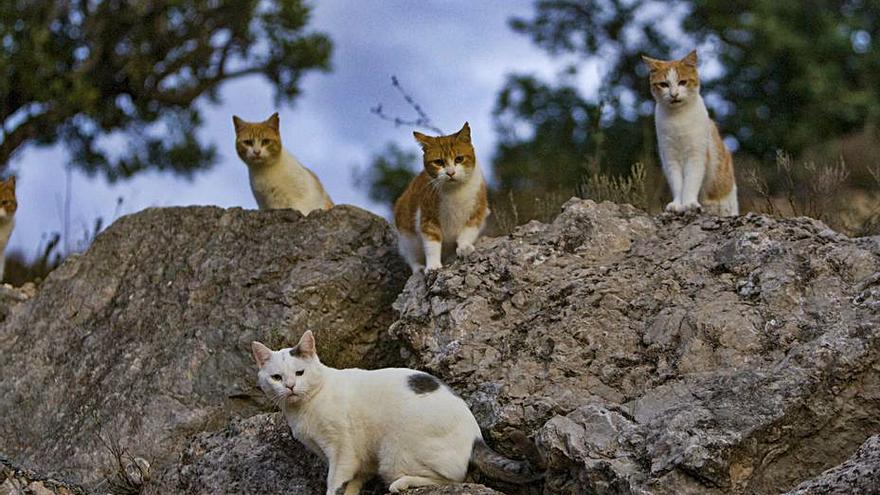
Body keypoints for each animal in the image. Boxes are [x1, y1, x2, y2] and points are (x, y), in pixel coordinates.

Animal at [251, 330, 540, 495]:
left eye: (300, 373)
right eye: (276, 377)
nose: (290, 387)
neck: (303, 408)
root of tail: (476, 435)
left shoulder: (341, 449)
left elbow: (335, 482)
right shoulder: (358, 458)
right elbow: (352, 483)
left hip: (394, 454)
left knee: (455, 478)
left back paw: (402, 484)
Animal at [396, 122, 492, 274]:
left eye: (459, 159)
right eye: (439, 162)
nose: (450, 172)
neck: (455, 192)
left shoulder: (477, 212)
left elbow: (467, 232)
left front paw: (464, 247)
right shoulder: (428, 218)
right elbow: (432, 243)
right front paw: (433, 265)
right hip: (407, 235)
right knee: (411, 256)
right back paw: (418, 268)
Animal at [644, 49, 740, 217]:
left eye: (682, 82)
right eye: (664, 84)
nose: (674, 94)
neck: (678, 119)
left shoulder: (696, 156)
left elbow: (690, 183)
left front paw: (689, 204)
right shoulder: (670, 158)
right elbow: (677, 184)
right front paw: (677, 205)